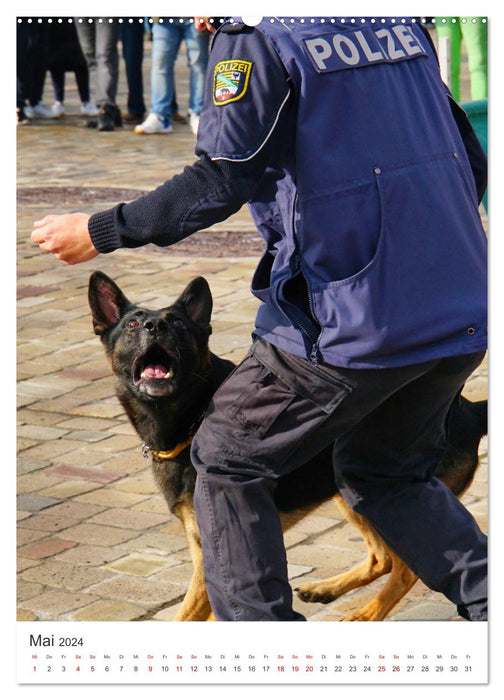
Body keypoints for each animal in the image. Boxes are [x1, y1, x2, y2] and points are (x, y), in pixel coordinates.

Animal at [88, 270, 486, 620]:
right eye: (133, 325)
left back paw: (365, 616)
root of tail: (469, 410)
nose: (155, 327)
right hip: (350, 492)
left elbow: (190, 616)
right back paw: (327, 590)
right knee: (383, 558)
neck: (191, 414)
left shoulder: (211, 551)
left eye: (180, 324)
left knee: (406, 569)